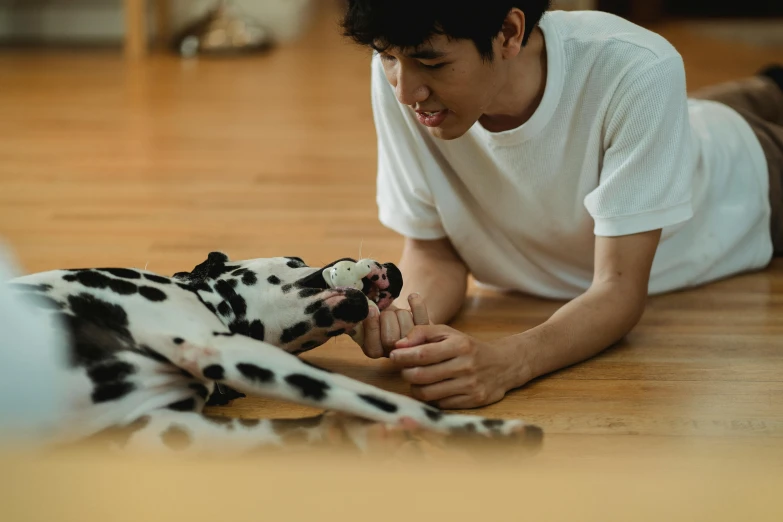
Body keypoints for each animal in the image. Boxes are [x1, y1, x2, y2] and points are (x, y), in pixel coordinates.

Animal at [6, 250, 544, 452]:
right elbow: (389, 401)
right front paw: (497, 432)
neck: (206, 300)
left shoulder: (163, 431)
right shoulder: (218, 347)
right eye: (296, 260)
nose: (392, 268)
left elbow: (294, 432)